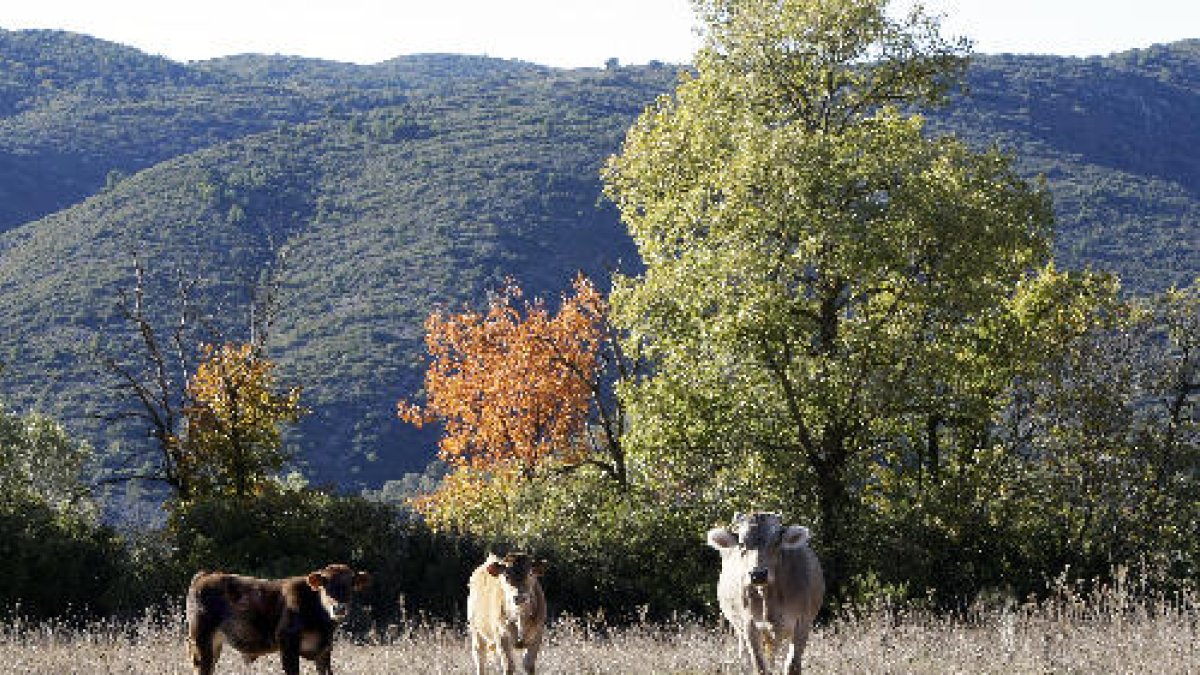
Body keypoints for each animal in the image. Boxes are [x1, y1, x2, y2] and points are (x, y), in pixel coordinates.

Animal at [185, 564, 371, 675]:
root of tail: (205, 575)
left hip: (214, 645)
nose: (339, 608)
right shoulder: (288, 643)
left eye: (350, 585)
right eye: (325, 586)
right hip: (201, 641)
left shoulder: (325, 651)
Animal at [707, 512, 824, 674]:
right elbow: (760, 666)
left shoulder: (803, 622)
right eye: (742, 544)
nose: (758, 574)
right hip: (740, 629)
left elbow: (792, 665)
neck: (769, 598)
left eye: (776, 542)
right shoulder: (749, 625)